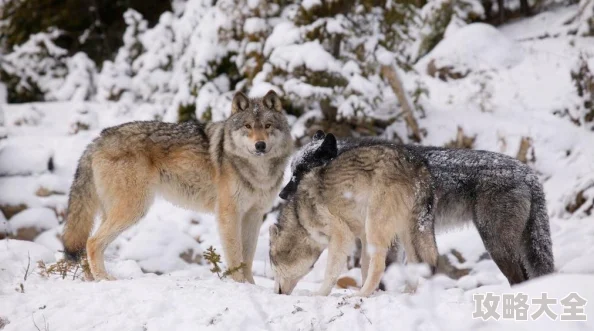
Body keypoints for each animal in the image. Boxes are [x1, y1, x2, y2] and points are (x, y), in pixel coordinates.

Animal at [62, 91, 292, 282]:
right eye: (248, 126)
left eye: (268, 125)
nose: (260, 145)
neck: (257, 171)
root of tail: (98, 139)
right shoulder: (229, 214)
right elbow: (235, 256)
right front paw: (240, 286)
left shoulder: (254, 215)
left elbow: (248, 258)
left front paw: (252, 286)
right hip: (133, 209)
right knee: (92, 242)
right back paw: (104, 279)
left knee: (88, 244)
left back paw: (91, 279)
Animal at [268, 131, 434, 296]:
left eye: (272, 264)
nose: (276, 293)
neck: (300, 218)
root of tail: (418, 166)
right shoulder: (362, 237)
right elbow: (364, 267)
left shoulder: (342, 235)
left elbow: (331, 273)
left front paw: (318, 295)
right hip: (405, 234)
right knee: (414, 263)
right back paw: (407, 294)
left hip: (375, 226)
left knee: (379, 265)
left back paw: (361, 294)